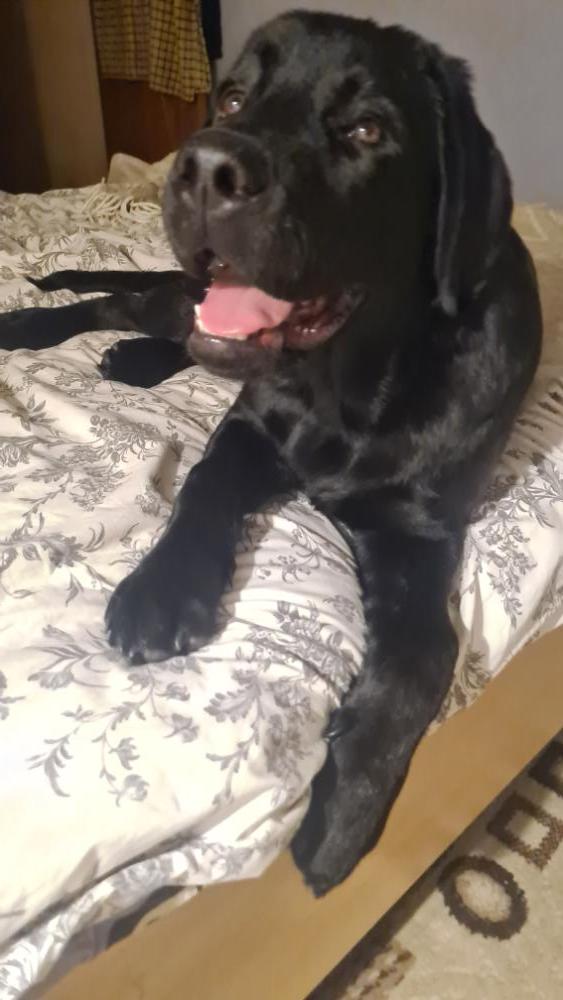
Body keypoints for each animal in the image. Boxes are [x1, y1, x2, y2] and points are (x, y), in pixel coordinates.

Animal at [0, 10, 542, 895]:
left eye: (366, 130)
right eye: (231, 96)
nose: (206, 167)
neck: (346, 389)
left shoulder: (420, 533)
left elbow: (422, 659)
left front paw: (341, 816)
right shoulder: (247, 435)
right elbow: (200, 492)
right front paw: (163, 592)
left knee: (167, 327)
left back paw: (135, 361)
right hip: (182, 294)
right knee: (125, 301)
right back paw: (30, 325)